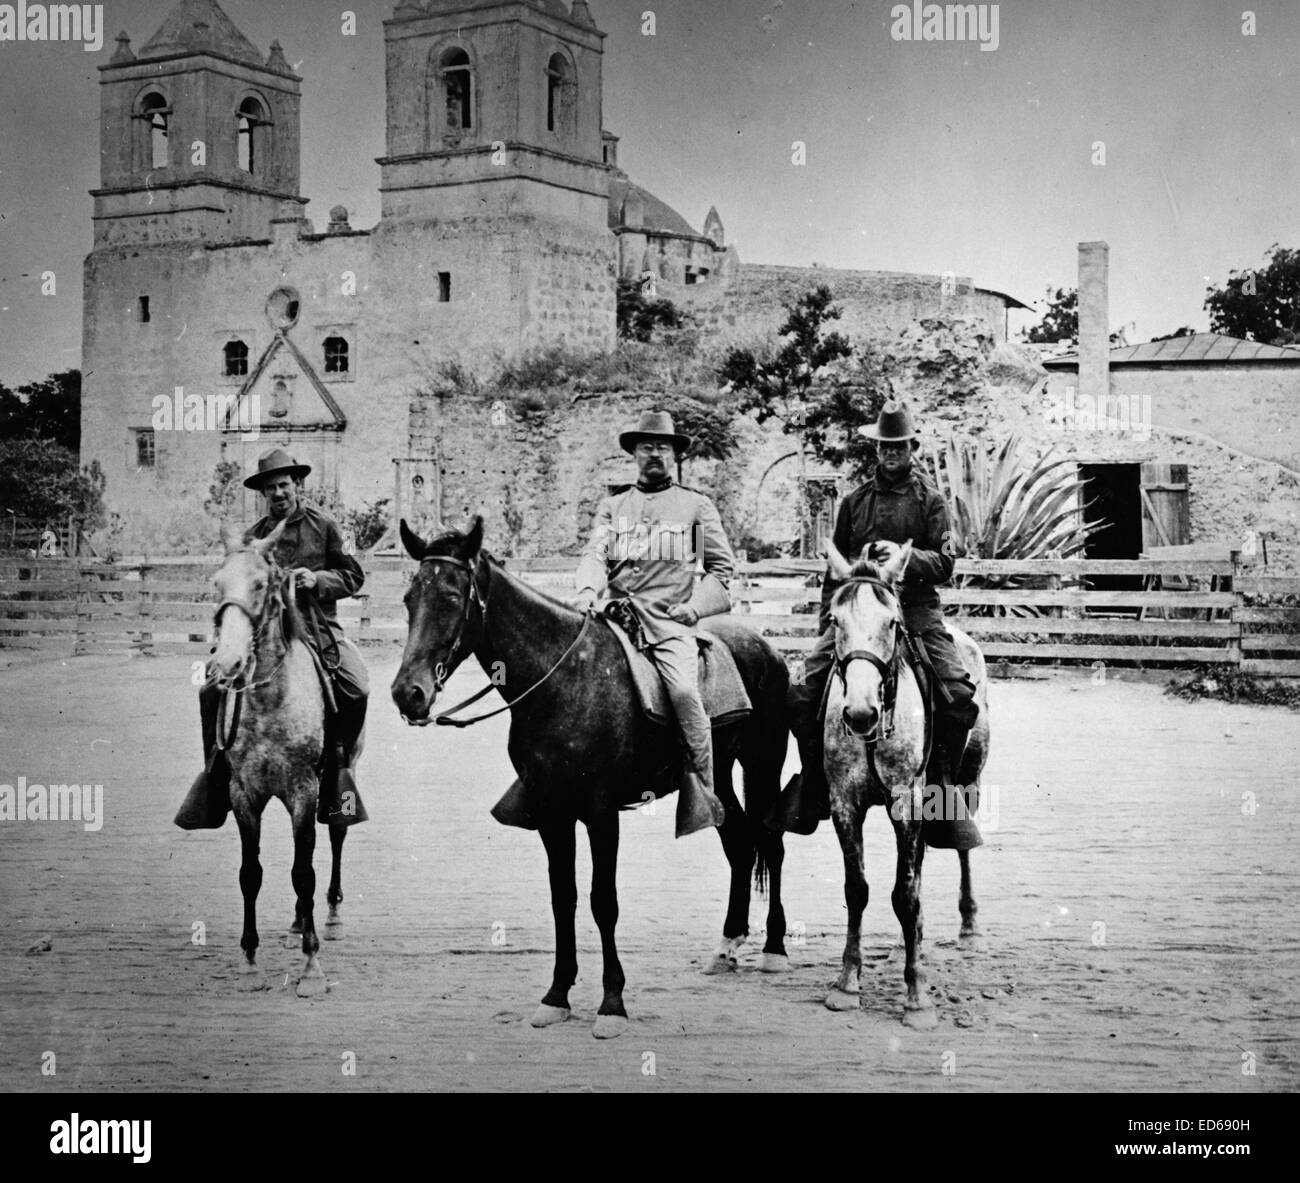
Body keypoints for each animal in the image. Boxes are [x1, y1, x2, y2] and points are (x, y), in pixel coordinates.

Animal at [387, 522, 790, 1040]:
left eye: (454, 597)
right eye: (409, 597)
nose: (408, 693)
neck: (562, 681)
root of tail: (765, 648)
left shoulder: (601, 813)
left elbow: (603, 902)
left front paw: (612, 1003)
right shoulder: (551, 814)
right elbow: (565, 898)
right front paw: (556, 995)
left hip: (763, 764)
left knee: (771, 844)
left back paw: (774, 949)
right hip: (715, 779)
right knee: (739, 843)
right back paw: (726, 946)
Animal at [816, 540, 987, 1024]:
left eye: (892, 622)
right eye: (835, 620)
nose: (859, 713)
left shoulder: (907, 805)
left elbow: (905, 895)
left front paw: (917, 995)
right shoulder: (844, 805)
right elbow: (858, 890)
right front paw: (847, 984)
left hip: (968, 783)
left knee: (962, 850)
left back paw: (969, 924)